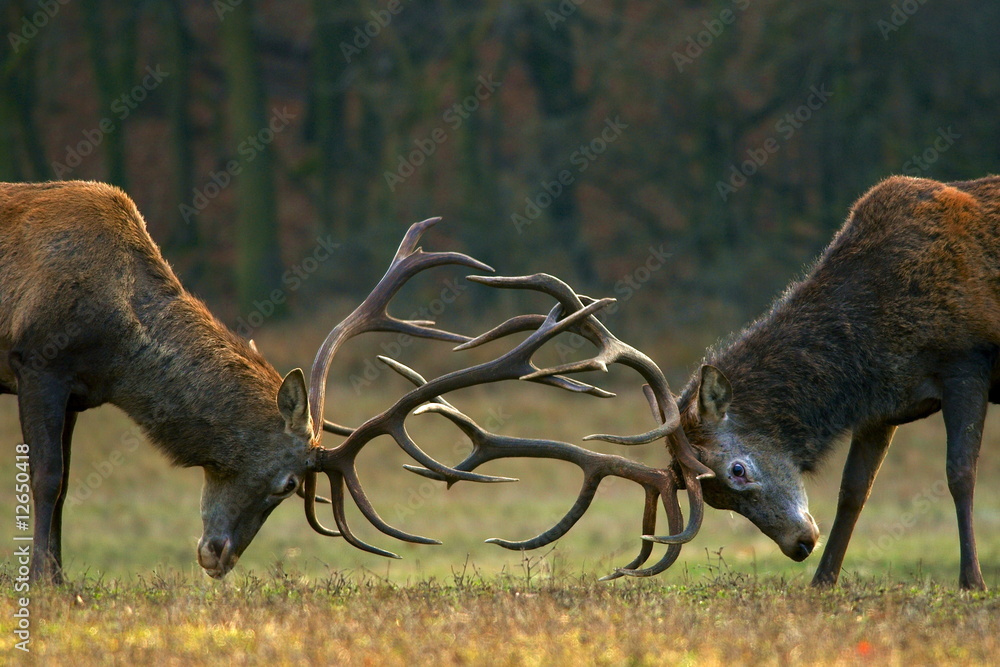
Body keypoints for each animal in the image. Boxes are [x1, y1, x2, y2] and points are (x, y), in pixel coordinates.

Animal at [1, 180, 712, 580]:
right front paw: (49, 584)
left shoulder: (76, 390)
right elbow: (50, 478)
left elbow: (63, 486)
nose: (215, 556)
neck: (118, 347)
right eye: (290, 482)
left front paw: (54, 577)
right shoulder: (39, 360)